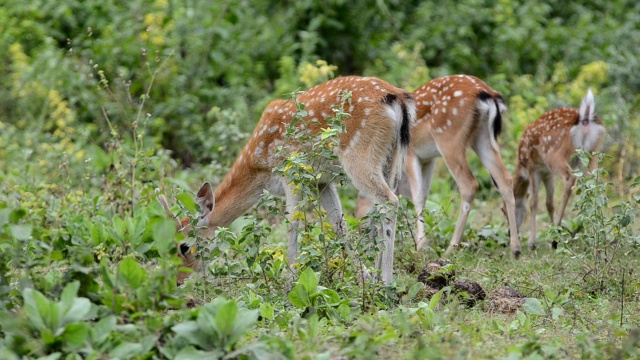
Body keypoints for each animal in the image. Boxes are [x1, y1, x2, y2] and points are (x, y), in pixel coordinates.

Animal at [358, 74, 524, 258]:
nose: (359, 227)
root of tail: (488, 94)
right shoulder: (428, 159)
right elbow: (424, 196)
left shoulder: (411, 155)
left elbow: (417, 197)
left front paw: (420, 245)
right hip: (483, 138)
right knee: (505, 180)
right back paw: (515, 249)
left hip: (449, 137)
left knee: (469, 184)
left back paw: (452, 247)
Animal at [512, 88, 608, 249]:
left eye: (504, 210)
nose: (511, 231)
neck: (522, 164)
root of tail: (585, 117)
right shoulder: (547, 173)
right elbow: (549, 204)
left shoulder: (534, 168)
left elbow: (534, 202)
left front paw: (532, 242)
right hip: (592, 152)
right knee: (593, 185)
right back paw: (592, 234)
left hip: (555, 153)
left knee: (570, 178)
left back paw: (556, 237)